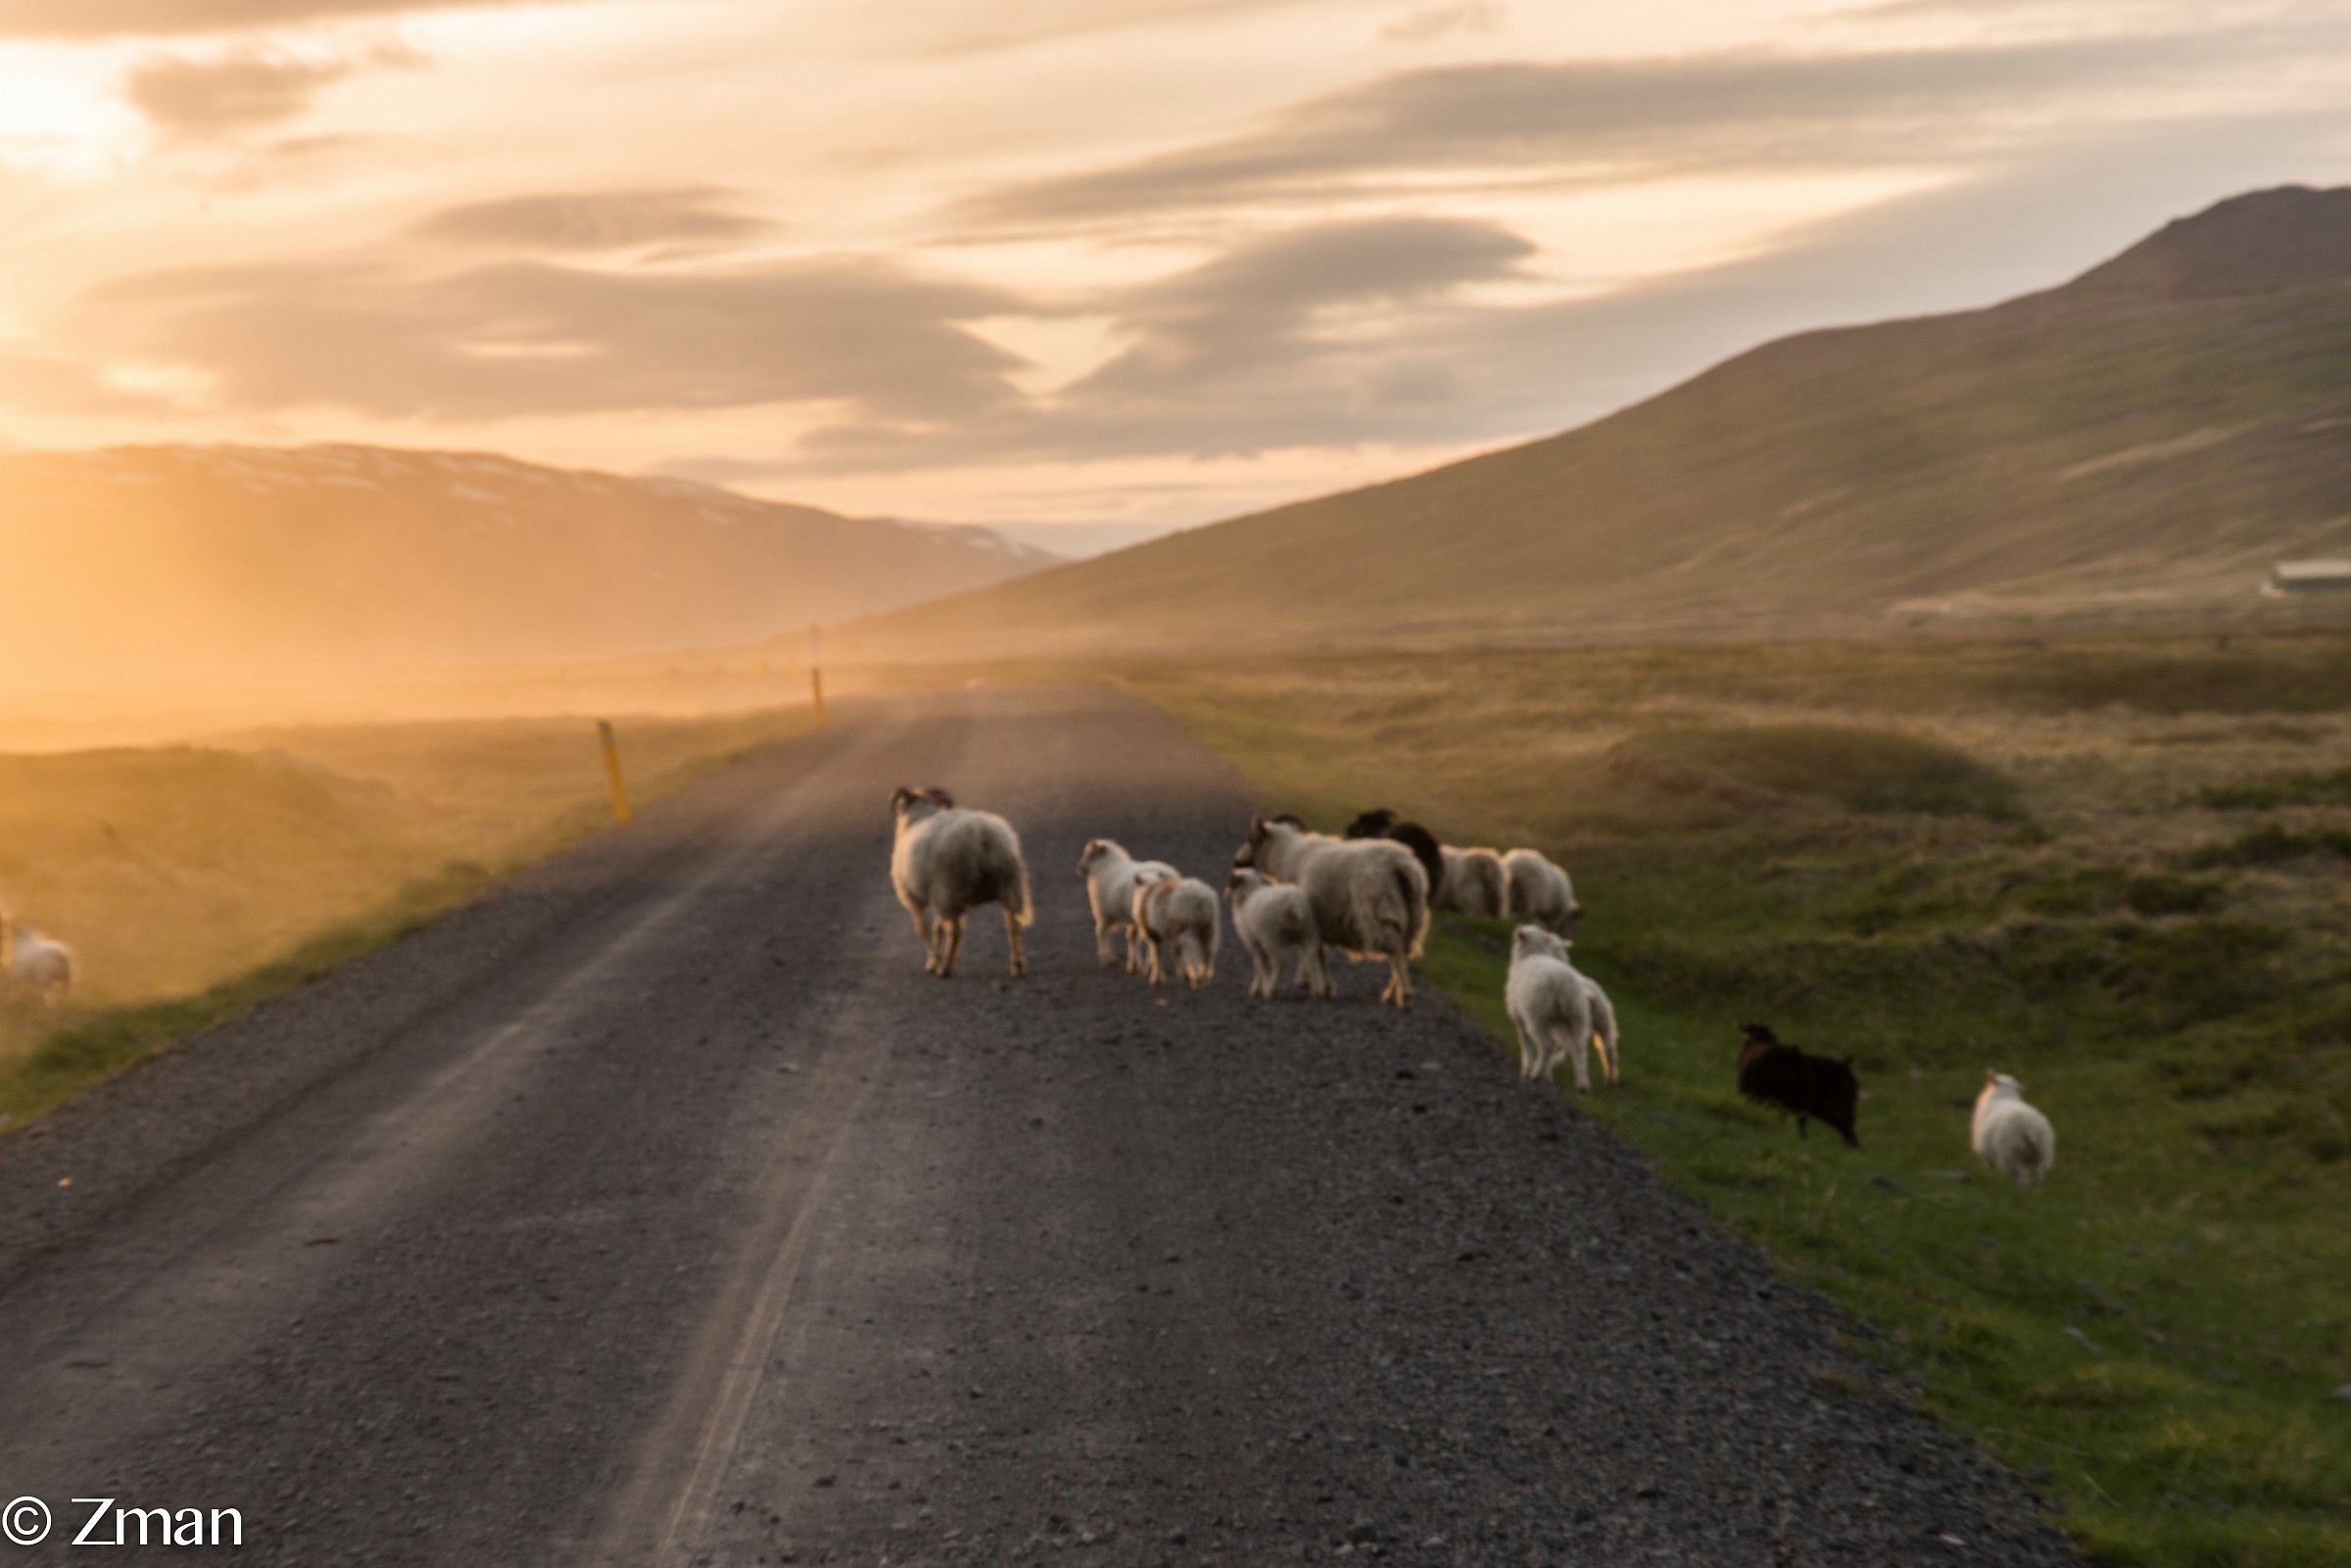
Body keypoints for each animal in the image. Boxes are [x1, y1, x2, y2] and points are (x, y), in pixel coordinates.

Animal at [889, 786, 1033, 979]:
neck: (921, 815)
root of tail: (982, 833)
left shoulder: (915, 899)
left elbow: (923, 930)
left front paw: (933, 961)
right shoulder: (948, 900)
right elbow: (938, 927)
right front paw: (935, 957)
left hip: (946, 888)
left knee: (956, 931)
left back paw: (945, 968)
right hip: (1008, 885)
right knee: (1012, 924)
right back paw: (1017, 964)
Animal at [1075, 839, 1177, 972]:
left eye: (1089, 855)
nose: (1079, 868)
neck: (1105, 866)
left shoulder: (1105, 913)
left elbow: (1103, 933)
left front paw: (1108, 959)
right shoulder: (1131, 917)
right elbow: (1131, 937)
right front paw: (1134, 964)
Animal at [1224, 868, 1330, 999]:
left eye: (1230, 884)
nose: (1225, 897)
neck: (1247, 897)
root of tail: (1294, 904)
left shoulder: (1254, 942)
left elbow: (1260, 964)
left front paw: (1260, 988)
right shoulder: (1258, 942)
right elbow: (1258, 964)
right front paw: (1257, 987)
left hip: (1272, 937)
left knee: (1281, 962)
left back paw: (1271, 989)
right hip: (1308, 932)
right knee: (1312, 958)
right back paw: (1318, 991)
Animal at [1505, 925, 1605, 1090]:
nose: (1517, 930)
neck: (1529, 956)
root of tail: (1563, 984)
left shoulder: (1520, 1017)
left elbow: (1525, 1042)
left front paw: (1527, 1067)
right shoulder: (1557, 1022)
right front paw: (1548, 1076)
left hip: (1537, 1016)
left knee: (1547, 1045)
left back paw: (1535, 1074)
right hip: (1576, 1016)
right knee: (1579, 1048)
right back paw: (1582, 1084)